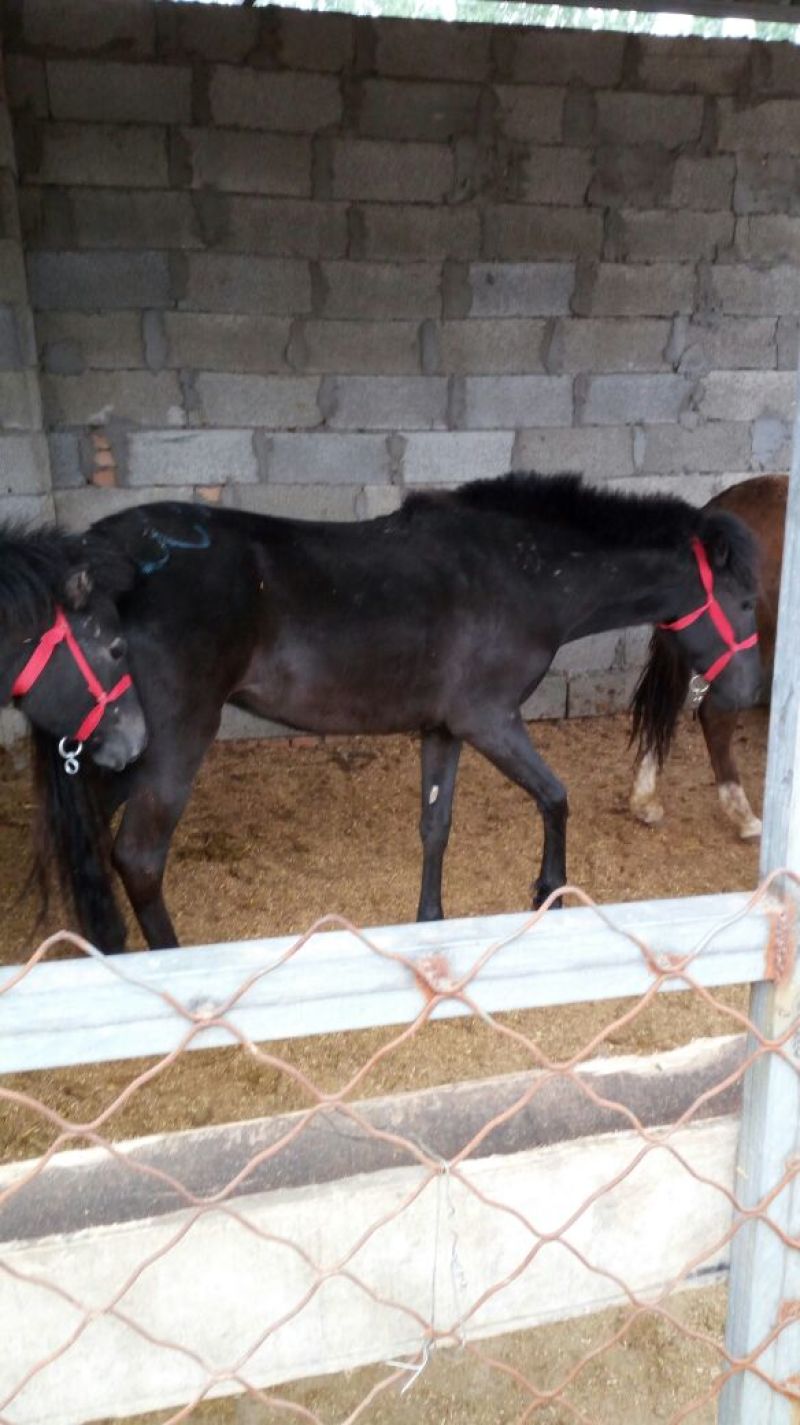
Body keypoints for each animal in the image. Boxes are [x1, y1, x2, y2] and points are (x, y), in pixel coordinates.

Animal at [6, 472, 762, 953]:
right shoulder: (489, 720)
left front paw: (431, 920)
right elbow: (555, 797)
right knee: (137, 857)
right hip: (166, 746)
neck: (522, 570)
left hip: (115, 752)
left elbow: (435, 826)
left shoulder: (444, 729)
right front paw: (549, 890)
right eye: (749, 602)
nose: (747, 693)